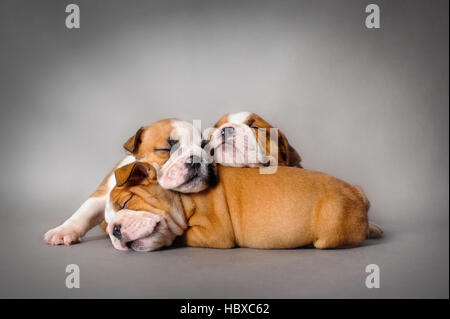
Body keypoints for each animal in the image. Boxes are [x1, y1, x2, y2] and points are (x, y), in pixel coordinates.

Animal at [44, 120, 215, 248]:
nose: (196, 159)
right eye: (166, 149)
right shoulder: (102, 194)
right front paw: (63, 231)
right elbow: (84, 212)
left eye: (204, 147)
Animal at [105, 165, 370, 252]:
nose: (114, 230)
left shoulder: (214, 233)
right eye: (107, 229)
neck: (184, 197)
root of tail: (356, 192)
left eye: (127, 202)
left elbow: (181, 236)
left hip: (331, 231)